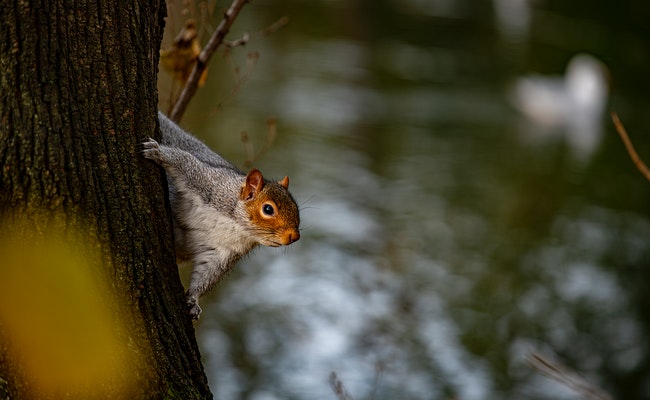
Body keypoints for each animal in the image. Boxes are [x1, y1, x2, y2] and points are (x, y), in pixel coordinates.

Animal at [143, 112, 300, 318]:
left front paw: (193, 300)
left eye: (296, 207)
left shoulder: (224, 252)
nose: (295, 236)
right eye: (268, 209)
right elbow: (184, 161)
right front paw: (158, 152)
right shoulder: (208, 183)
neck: (235, 225)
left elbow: (207, 275)